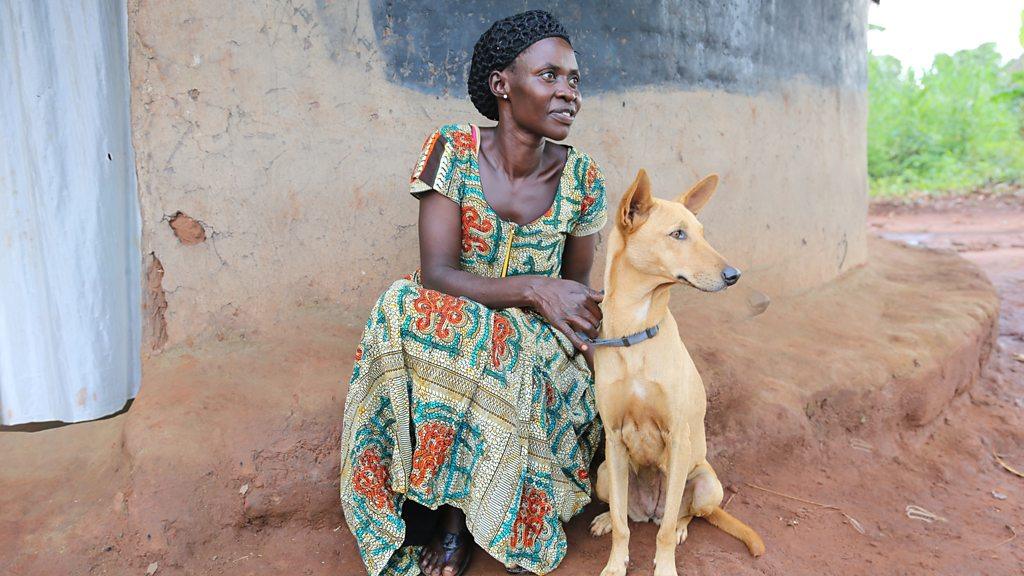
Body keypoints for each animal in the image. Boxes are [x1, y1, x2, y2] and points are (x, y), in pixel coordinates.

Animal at [589, 169, 765, 573]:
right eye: (678, 234)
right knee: (625, 513)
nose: (734, 274)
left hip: (704, 481)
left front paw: (665, 566)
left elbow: (666, 530)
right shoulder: (614, 438)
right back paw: (605, 518)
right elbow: (621, 524)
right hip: (605, 474)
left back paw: (683, 526)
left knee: (683, 515)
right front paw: (615, 563)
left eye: (702, 232)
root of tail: (648, 511)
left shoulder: (677, 436)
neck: (635, 334)